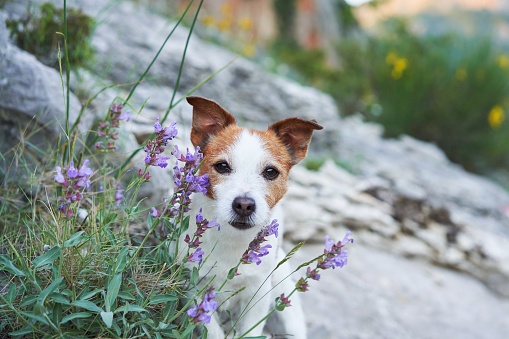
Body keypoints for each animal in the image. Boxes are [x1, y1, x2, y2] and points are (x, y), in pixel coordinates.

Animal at [182, 96, 322, 339]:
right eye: (222, 166)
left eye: (270, 172)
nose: (244, 205)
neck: (233, 241)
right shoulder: (196, 287)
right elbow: (211, 329)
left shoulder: (257, 297)